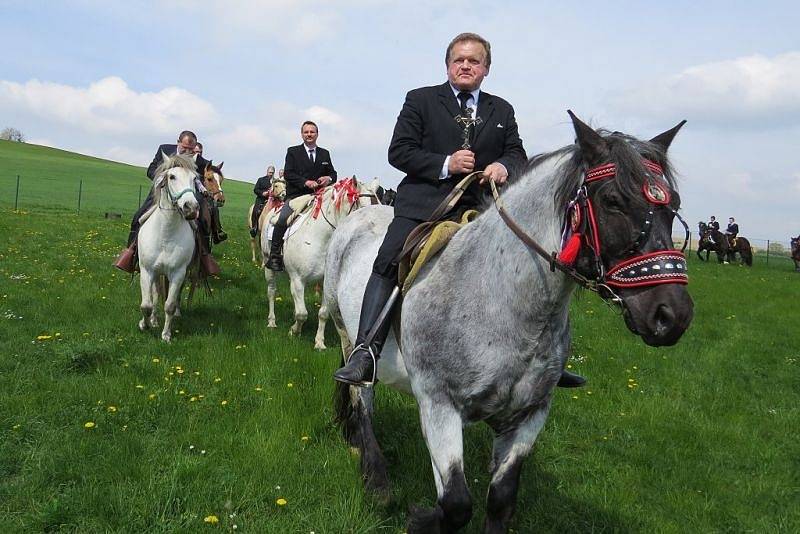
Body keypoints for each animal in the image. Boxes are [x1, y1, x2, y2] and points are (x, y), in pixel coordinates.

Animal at [138, 152, 200, 344]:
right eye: (172, 176)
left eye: (195, 178)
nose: (191, 207)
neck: (166, 234)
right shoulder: (147, 270)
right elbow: (146, 304)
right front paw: (145, 324)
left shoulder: (178, 273)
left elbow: (170, 305)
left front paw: (166, 335)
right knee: (155, 294)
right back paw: (153, 320)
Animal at [260, 178, 378, 350]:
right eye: (362, 208)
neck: (321, 238)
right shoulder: (298, 279)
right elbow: (302, 314)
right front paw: (294, 331)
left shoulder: (325, 282)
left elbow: (323, 313)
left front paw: (319, 342)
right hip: (268, 266)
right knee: (271, 292)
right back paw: (271, 322)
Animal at [324, 112, 692, 532]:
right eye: (613, 200)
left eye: (673, 204)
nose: (672, 315)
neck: (502, 301)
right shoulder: (438, 403)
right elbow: (456, 503)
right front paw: (419, 517)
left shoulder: (530, 413)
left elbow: (500, 499)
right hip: (347, 336)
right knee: (361, 399)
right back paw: (376, 478)